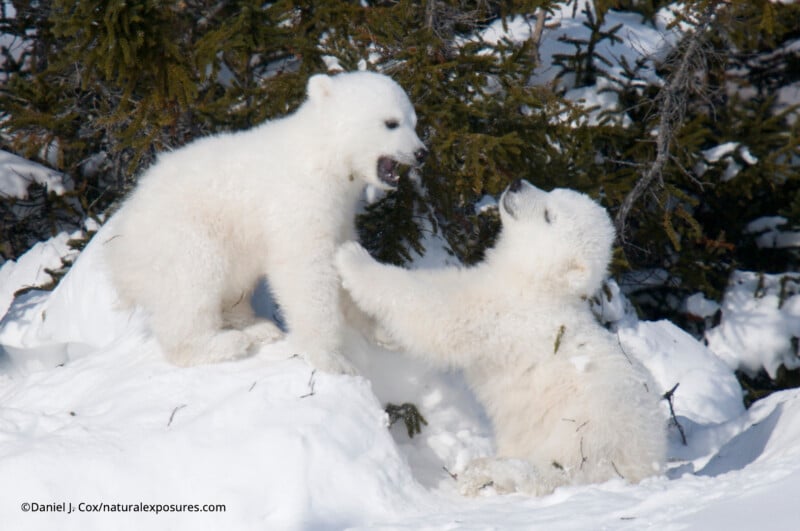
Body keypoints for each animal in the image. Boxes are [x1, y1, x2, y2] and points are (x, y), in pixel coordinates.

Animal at [105, 71, 427, 372]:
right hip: (183, 235)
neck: (323, 157)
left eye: (413, 121)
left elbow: (344, 258)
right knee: (192, 284)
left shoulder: (339, 214)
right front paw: (332, 359)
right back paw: (224, 343)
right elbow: (305, 271)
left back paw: (257, 328)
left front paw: (383, 331)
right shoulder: (298, 202)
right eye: (391, 123)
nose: (421, 153)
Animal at [335, 179, 666, 495]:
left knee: (556, 469)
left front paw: (352, 257)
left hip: (588, 428)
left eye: (549, 216)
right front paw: (384, 335)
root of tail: (648, 463)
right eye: (553, 190)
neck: (539, 285)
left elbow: (437, 309)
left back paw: (488, 471)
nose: (518, 183)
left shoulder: (502, 310)